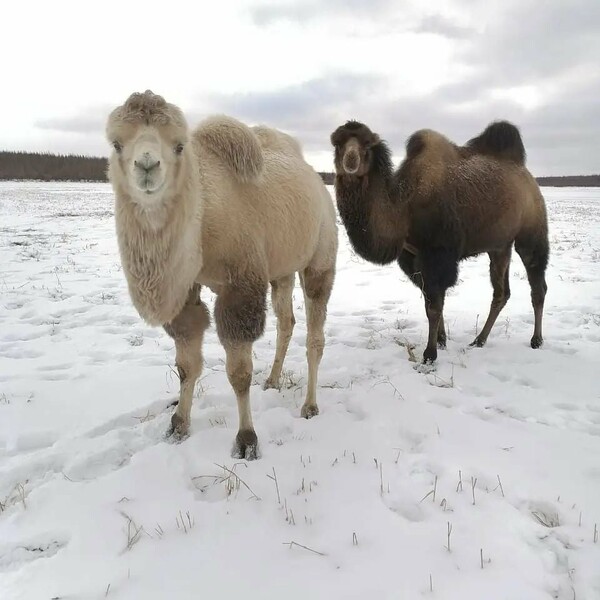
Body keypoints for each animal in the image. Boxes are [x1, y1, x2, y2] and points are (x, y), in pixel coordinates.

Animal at [104, 90, 338, 460]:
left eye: (179, 146)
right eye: (116, 144)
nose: (147, 166)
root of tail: (316, 178)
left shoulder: (240, 283)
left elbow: (239, 372)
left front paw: (247, 440)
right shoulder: (187, 287)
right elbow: (186, 364)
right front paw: (178, 425)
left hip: (320, 253)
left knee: (315, 334)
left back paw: (310, 406)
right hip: (280, 269)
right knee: (286, 322)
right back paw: (273, 380)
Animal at [330, 117, 552, 360]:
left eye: (367, 144)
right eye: (337, 143)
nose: (351, 160)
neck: (404, 208)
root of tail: (527, 175)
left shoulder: (438, 254)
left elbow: (434, 307)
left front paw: (430, 354)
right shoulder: (412, 257)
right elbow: (432, 300)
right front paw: (441, 339)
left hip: (531, 232)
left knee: (538, 286)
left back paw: (537, 340)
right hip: (499, 245)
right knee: (502, 292)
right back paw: (480, 339)